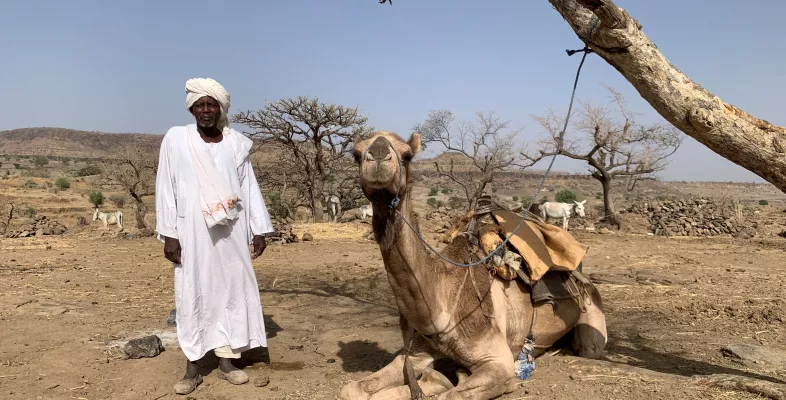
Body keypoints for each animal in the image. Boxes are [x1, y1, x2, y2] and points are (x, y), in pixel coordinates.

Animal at [340, 131, 607, 400]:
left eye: (407, 156)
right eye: (356, 154)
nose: (378, 156)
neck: (442, 307)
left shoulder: (499, 362)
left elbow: (450, 395)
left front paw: (444, 379)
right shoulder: (415, 353)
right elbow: (352, 389)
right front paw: (437, 378)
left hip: (591, 314)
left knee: (590, 348)